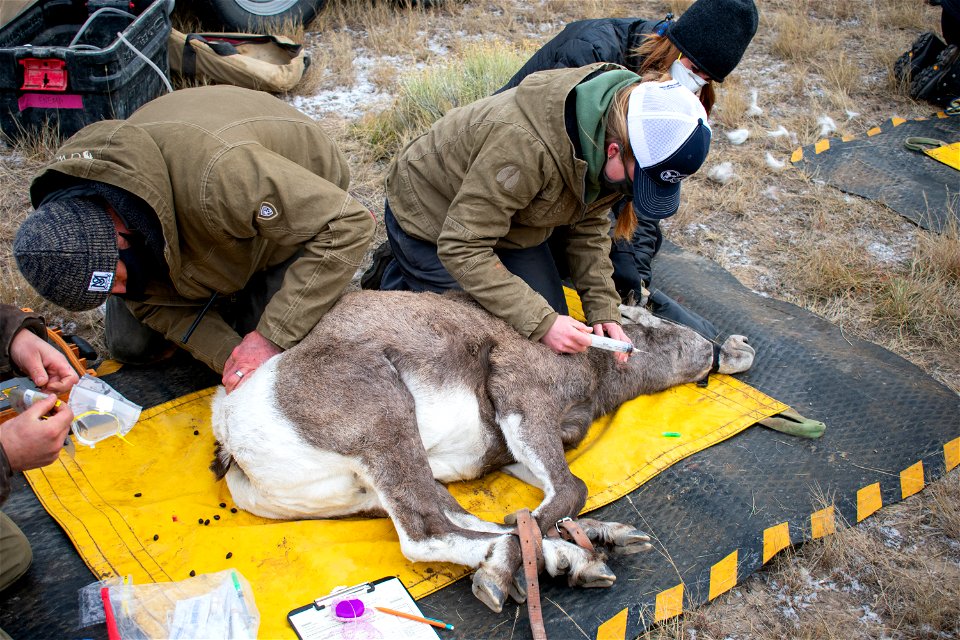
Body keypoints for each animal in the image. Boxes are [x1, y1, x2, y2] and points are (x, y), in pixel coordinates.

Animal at [212, 288, 756, 608]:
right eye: (649, 323)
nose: (711, 351)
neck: (591, 368)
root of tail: (230, 435)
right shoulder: (524, 406)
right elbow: (572, 489)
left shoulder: (517, 454)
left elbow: (544, 501)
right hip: (388, 433)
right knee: (426, 534)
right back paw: (533, 567)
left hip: (381, 486)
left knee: (466, 521)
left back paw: (581, 554)